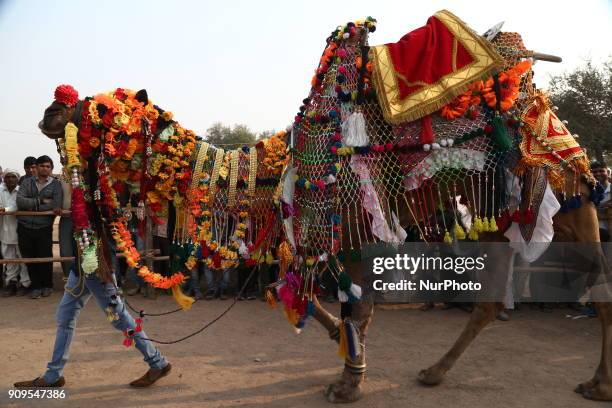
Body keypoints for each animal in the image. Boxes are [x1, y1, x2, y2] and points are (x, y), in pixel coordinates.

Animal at [39, 9, 612, 404]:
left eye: (101, 111)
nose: (50, 109)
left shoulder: (351, 224)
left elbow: (353, 301)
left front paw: (349, 380)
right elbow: (306, 293)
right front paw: (347, 348)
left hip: (559, 187)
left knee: (597, 282)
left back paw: (596, 383)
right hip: (503, 202)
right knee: (497, 296)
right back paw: (434, 372)